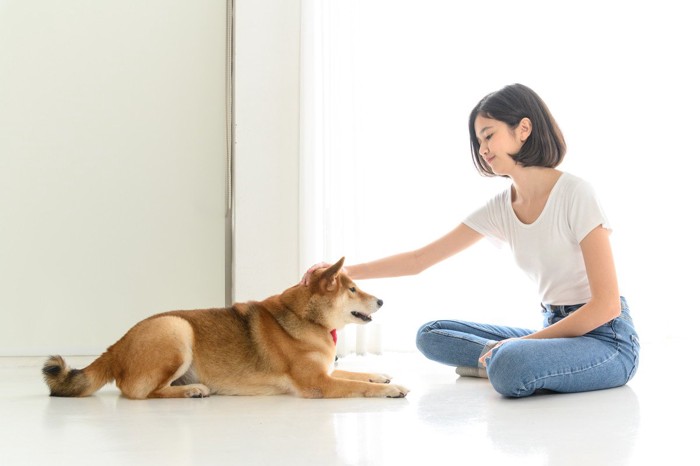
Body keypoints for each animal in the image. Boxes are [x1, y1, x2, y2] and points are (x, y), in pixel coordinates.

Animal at [42, 256, 410, 398]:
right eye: (353, 290)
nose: (381, 301)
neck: (307, 317)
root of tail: (117, 345)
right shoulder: (319, 383)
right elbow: (356, 384)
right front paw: (391, 388)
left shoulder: (326, 372)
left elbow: (357, 374)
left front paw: (381, 375)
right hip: (177, 330)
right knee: (137, 392)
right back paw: (192, 390)